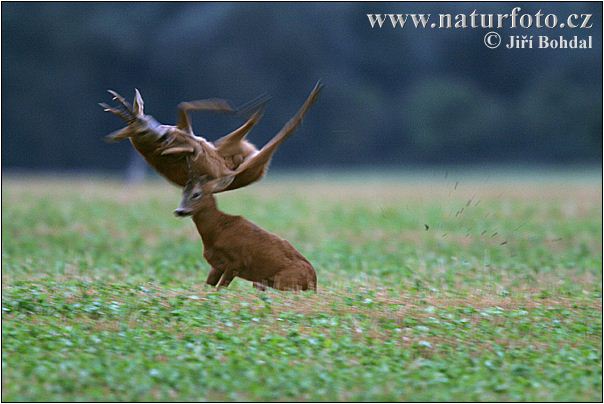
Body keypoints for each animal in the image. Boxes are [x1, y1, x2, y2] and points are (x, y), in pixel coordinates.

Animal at [101, 81, 324, 193]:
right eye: (141, 131)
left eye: (146, 117)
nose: (164, 136)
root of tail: (259, 173)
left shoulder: (186, 130)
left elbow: (184, 105)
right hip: (245, 161)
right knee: (286, 129)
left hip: (226, 144)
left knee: (252, 126)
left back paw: (260, 106)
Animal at [173, 158, 318, 290]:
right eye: (183, 192)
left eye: (196, 194)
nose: (179, 211)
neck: (217, 232)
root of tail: (314, 283)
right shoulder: (216, 265)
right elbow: (208, 286)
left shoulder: (237, 262)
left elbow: (220, 288)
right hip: (261, 282)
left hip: (284, 280)